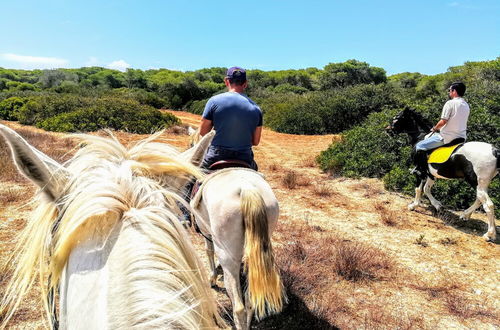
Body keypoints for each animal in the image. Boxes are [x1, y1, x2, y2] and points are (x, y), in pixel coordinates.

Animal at [182, 129, 288, 330]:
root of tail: (247, 188)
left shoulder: (206, 233)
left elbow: (208, 251)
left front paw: (212, 278)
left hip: (228, 255)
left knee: (238, 307)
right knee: (250, 301)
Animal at [388, 109, 498, 241]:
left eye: (397, 118)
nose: (388, 130)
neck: (420, 137)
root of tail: (495, 151)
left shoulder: (420, 172)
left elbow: (418, 189)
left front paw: (413, 206)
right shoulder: (431, 174)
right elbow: (427, 189)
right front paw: (438, 205)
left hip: (477, 182)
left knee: (488, 205)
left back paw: (489, 234)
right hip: (481, 184)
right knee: (479, 200)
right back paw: (465, 215)